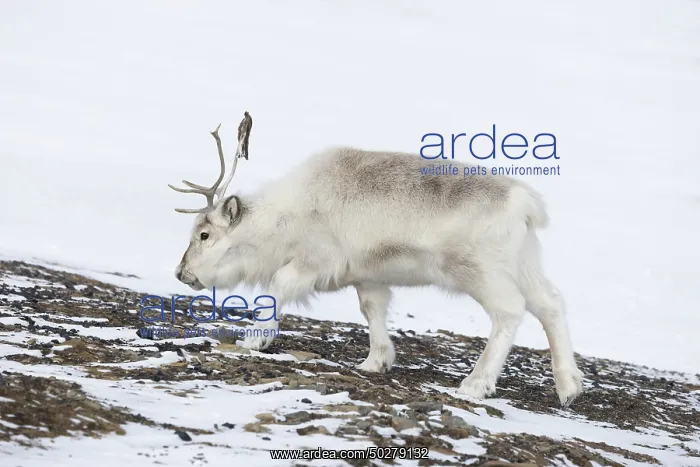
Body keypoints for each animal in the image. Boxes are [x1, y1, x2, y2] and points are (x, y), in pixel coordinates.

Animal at [168, 112, 585, 407]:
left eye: (204, 235)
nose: (181, 272)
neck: (281, 220)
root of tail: (525, 205)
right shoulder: (368, 275)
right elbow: (373, 310)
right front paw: (377, 361)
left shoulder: (316, 261)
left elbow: (276, 287)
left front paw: (255, 340)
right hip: (525, 262)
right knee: (550, 304)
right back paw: (569, 387)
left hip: (479, 270)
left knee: (510, 311)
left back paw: (475, 384)